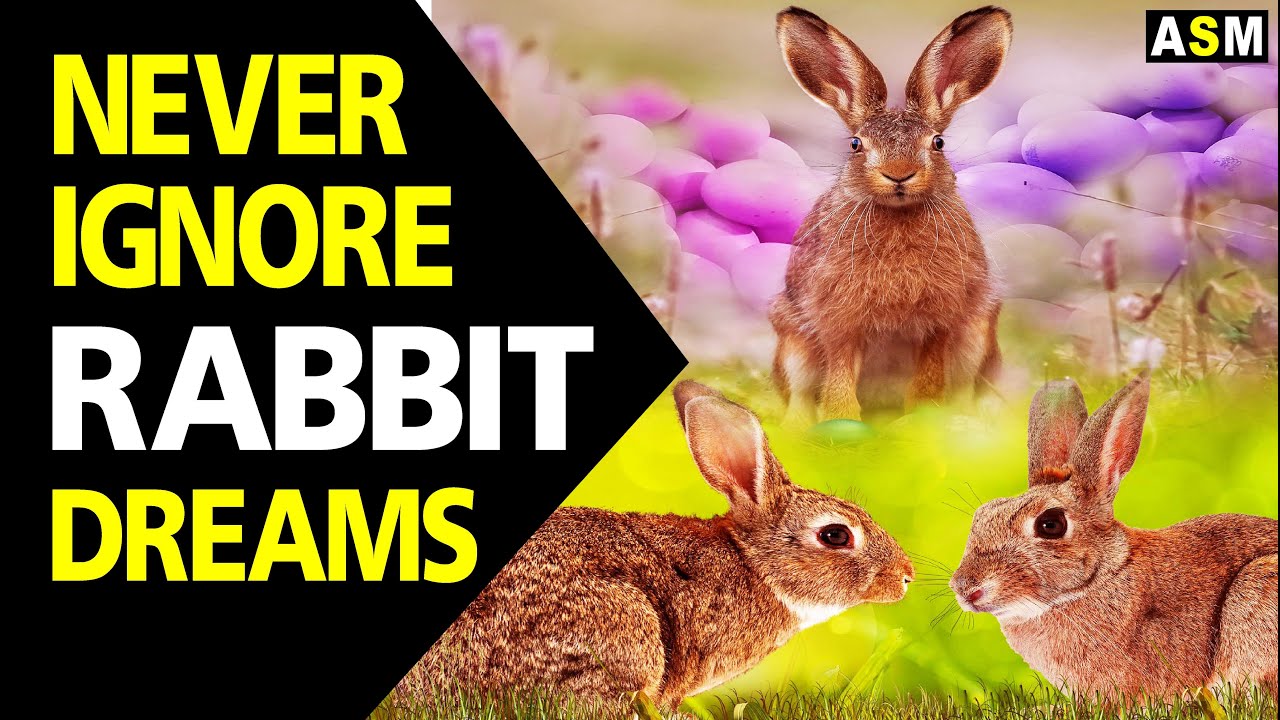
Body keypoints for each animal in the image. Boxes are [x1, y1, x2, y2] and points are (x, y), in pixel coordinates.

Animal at [770, 6, 1010, 425]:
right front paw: (841, 421)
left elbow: (929, 377)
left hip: (978, 336)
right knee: (798, 395)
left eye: (938, 143)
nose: (899, 174)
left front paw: (923, 422)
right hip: (792, 341)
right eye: (856, 145)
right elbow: (839, 375)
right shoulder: (840, 322)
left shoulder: (940, 323)